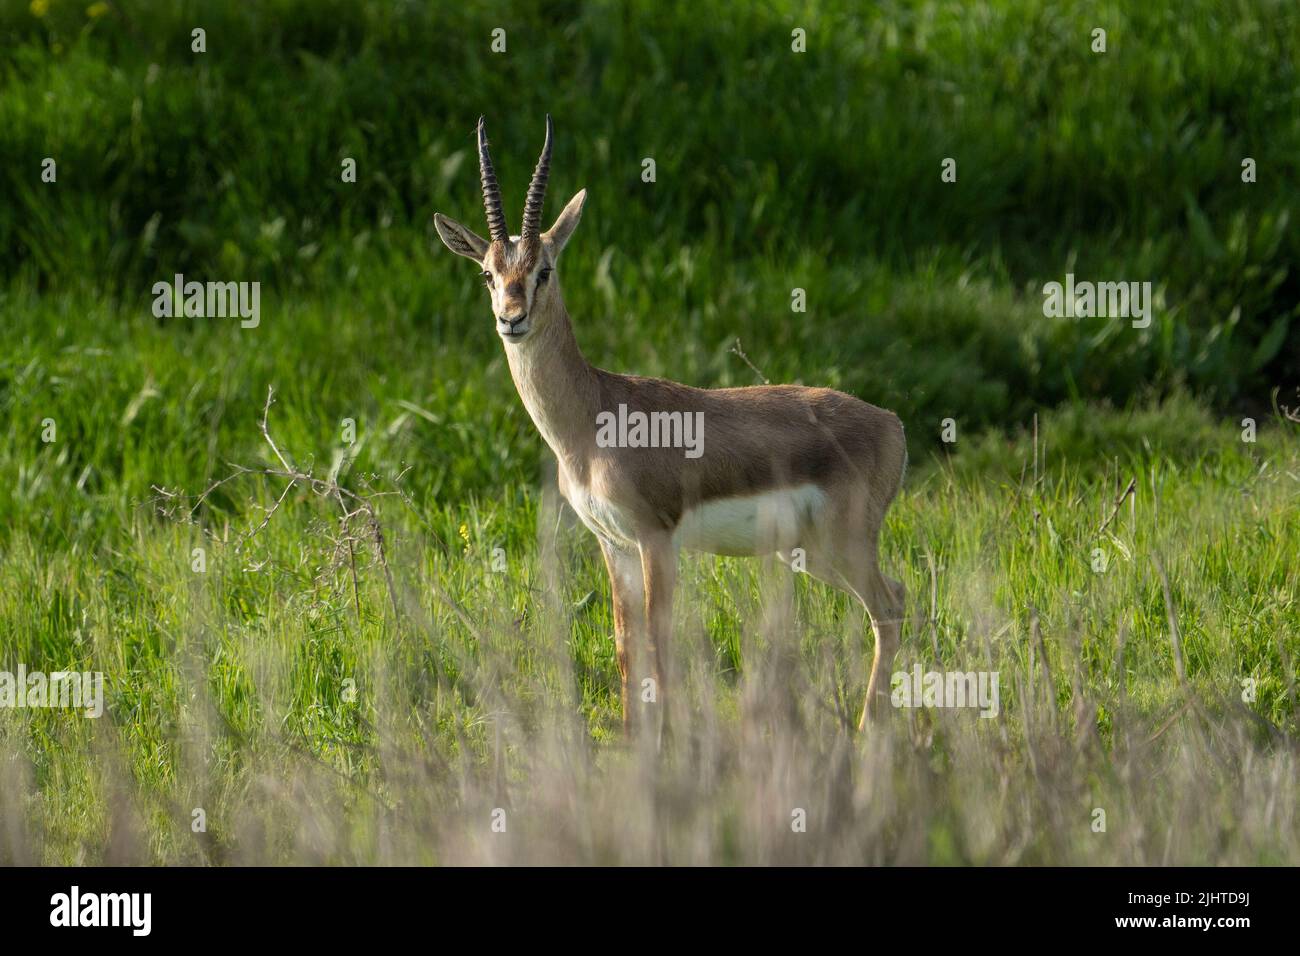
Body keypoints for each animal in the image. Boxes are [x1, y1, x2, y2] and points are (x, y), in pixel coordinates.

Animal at [434, 116, 907, 736]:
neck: (592, 420)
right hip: (810, 553)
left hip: (844, 544)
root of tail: (892, 423)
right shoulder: (613, 545)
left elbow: (660, 652)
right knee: (896, 599)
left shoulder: (656, 540)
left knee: (890, 608)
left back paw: (870, 734)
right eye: (489, 273)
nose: (511, 319)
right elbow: (626, 651)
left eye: (544, 270)